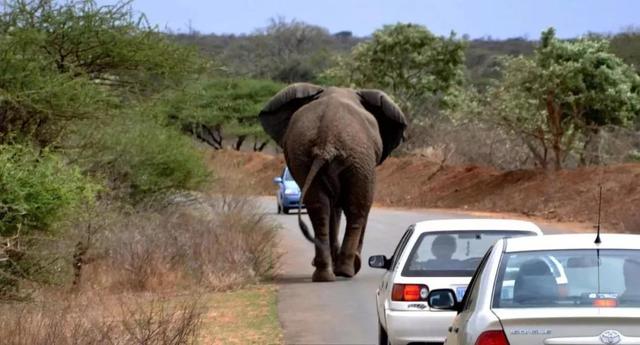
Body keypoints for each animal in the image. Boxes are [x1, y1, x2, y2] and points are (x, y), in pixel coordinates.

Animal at [258, 84, 404, 282]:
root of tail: (326, 141)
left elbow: (333, 208)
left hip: (304, 157)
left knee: (319, 208)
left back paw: (324, 275)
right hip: (359, 158)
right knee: (358, 208)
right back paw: (346, 271)